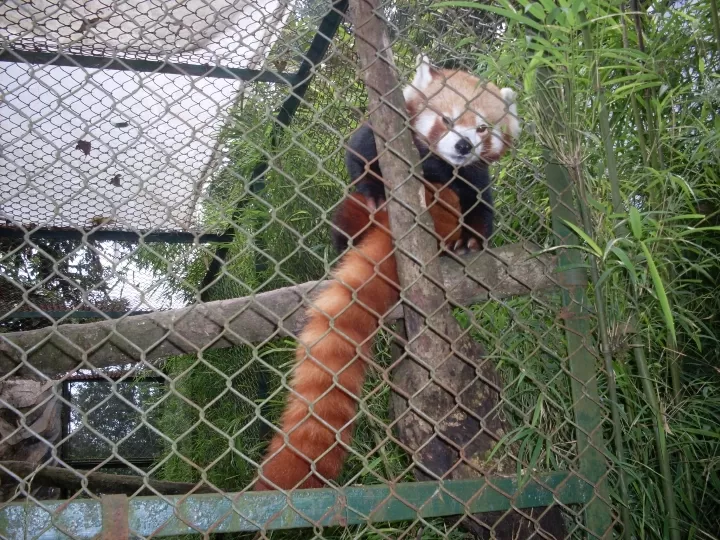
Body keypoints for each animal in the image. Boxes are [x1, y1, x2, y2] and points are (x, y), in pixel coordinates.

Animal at [253, 56, 516, 494]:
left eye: (481, 128)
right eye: (446, 119)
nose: (464, 145)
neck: (437, 166)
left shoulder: (471, 174)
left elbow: (480, 196)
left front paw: (474, 238)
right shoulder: (383, 137)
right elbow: (360, 154)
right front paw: (376, 187)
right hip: (354, 208)